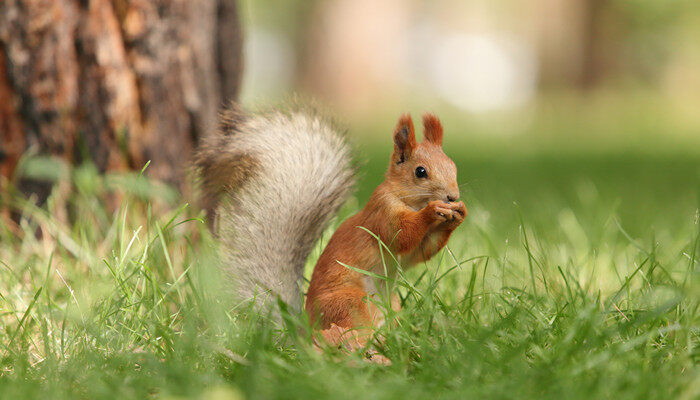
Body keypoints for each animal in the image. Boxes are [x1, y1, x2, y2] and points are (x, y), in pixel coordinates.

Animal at [196, 103, 464, 356]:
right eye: (421, 171)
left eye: (454, 166)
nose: (453, 196)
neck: (408, 200)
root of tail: (305, 330)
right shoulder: (382, 214)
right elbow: (403, 235)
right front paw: (432, 211)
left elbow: (421, 251)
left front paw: (457, 216)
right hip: (350, 302)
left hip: (391, 305)